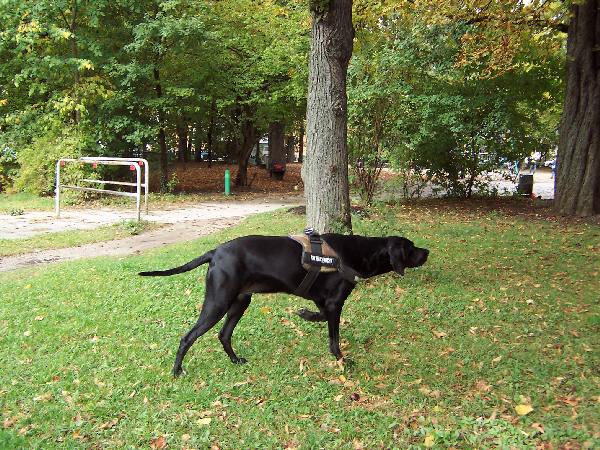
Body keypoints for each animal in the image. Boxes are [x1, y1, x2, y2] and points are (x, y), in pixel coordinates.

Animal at [138, 234, 428, 374]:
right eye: (411, 247)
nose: (427, 252)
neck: (358, 252)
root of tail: (215, 252)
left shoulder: (323, 301)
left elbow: (319, 316)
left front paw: (304, 314)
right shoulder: (335, 303)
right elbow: (334, 339)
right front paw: (342, 361)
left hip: (240, 302)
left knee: (224, 335)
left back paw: (235, 360)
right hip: (218, 302)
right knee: (187, 337)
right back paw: (177, 371)